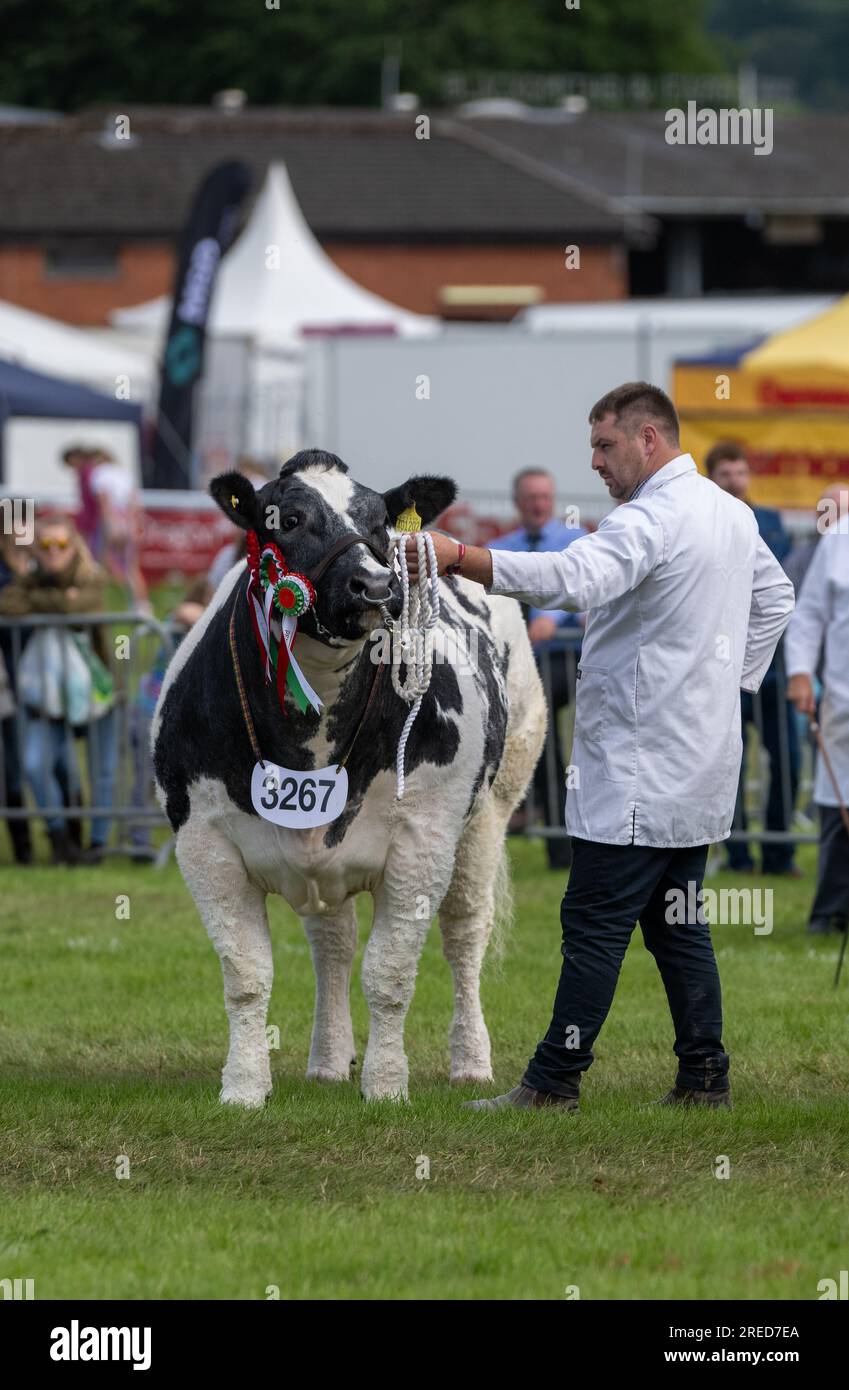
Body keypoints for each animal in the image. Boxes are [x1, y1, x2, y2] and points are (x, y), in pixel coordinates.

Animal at [152, 450, 544, 1100]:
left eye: (380, 520)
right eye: (286, 518)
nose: (378, 585)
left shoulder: (423, 842)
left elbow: (390, 971)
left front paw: (386, 1085)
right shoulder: (203, 841)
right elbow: (246, 972)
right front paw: (244, 1087)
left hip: (493, 808)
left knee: (465, 933)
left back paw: (470, 1061)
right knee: (331, 945)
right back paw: (329, 1060)